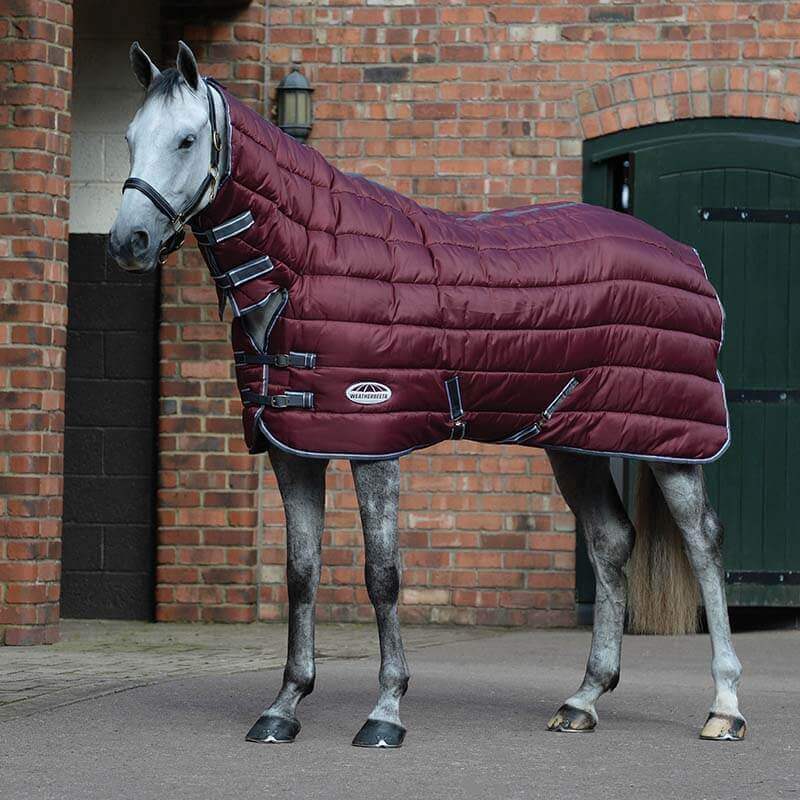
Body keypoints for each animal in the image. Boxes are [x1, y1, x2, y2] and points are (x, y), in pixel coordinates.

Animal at [107, 41, 746, 747]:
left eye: (188, 139)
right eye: (130, 137)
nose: (128, 242)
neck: (304, 263)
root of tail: (689, 258)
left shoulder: (374, 439)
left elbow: (382, 575)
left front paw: (385, 711)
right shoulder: (293, 447)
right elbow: (301, 574)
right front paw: (284, 707)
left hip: (673, 443)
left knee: (704, 543)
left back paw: (724, 707)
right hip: (573, 438)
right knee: (610, 540)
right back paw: (583, 699)